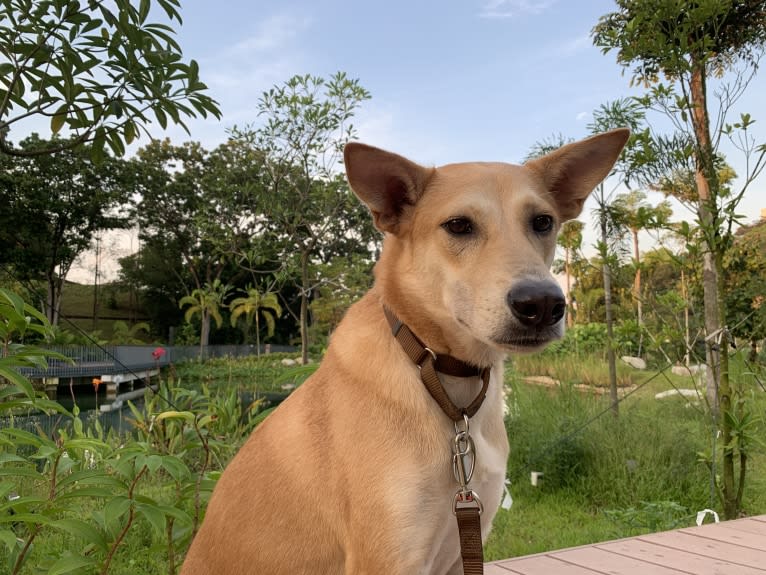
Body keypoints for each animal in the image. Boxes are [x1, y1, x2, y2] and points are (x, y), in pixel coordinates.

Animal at [180, 128, 632, 572]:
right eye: (458, 225)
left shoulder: (462, 544)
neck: (443, 379)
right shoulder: (388, 556)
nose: (542, 304)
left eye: (543, 222)